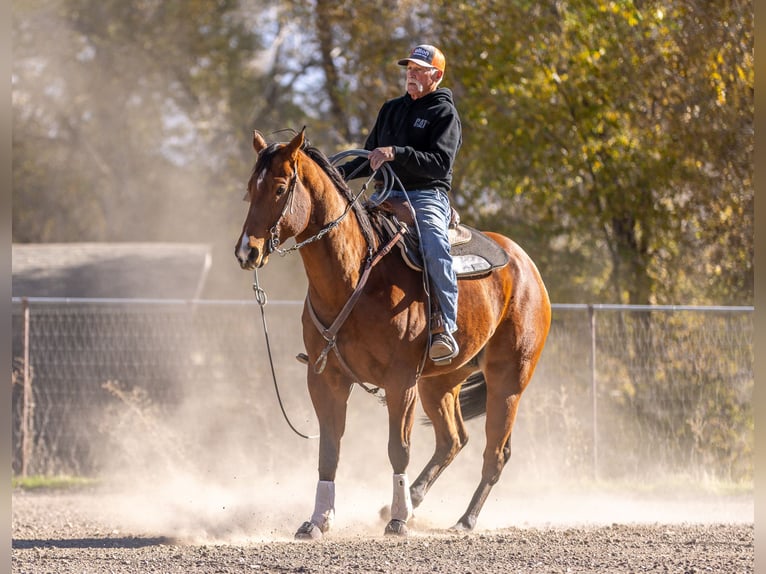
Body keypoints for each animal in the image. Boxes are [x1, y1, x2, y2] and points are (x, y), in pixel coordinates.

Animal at [235, 128, 551, 539]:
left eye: (278, 187)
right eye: (249, 188)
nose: (247, 252)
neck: (357, 276)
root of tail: (526, 266)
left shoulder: (401, 381)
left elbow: (398, 448)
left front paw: (399, 521)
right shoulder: (325, 377)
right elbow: (329, 451)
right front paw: (318, 520)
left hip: (508, 379)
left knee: (495, 452)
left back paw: (462, 520)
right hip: (440, 382)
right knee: (452, 440)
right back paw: (412, 502)